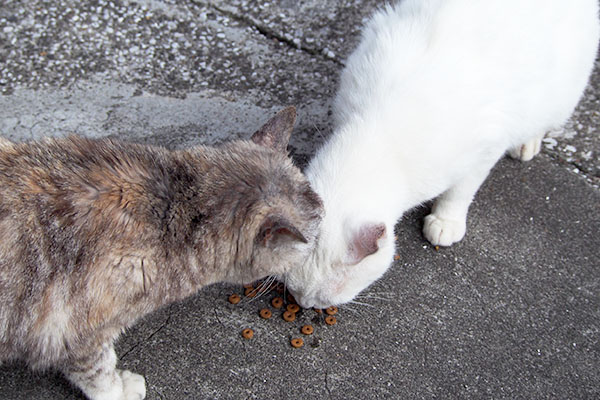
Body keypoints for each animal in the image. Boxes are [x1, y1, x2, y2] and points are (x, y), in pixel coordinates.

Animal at [0, 107, 324, 400]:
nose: (320, 244)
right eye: (315, 235)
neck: (177, 209)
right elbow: (99, 371)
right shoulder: (76, 331)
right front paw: (119, 391)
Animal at [284, 0, 596, 308]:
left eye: (325, 298)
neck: (379, 127)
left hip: (560, 95)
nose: (304, 303)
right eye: (292, 287)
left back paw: (526, 144)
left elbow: (459, 192)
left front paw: (446, 221)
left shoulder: (483, 151)